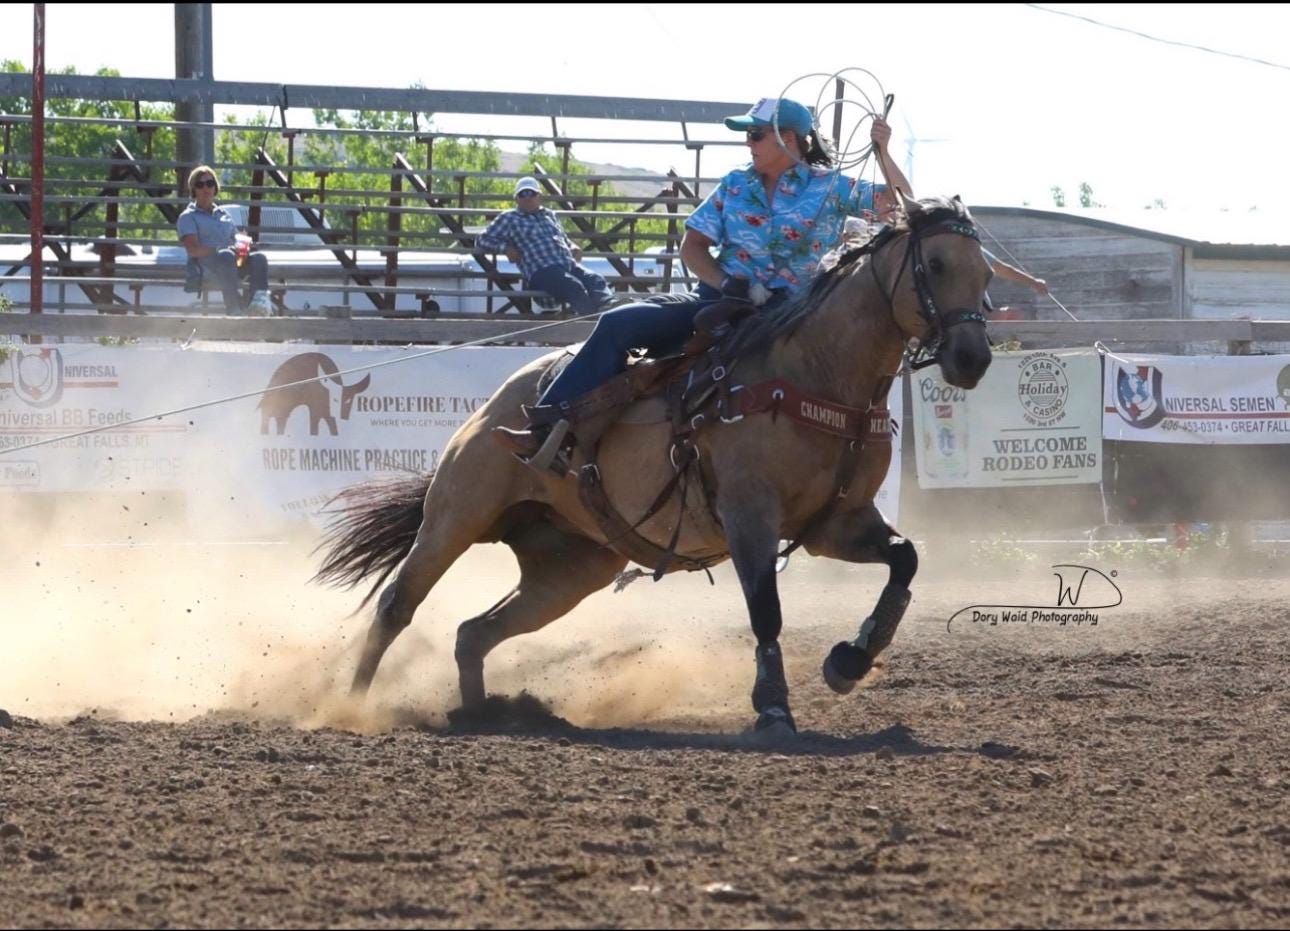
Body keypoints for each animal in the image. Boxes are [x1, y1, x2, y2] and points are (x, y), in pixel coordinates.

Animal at [317, 193, 990, 732]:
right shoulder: (749, 514)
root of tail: (500, 406)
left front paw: (849, 661)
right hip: (456, 515)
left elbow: (905, 559)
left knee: (473, 633)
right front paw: (773, 707)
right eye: (934, 265)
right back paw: (351, 706)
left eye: (985, 272)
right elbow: (766, 611)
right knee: (396, 606)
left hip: (572, 568)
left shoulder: (835, 523)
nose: (973, 358)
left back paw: (486, 715)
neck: (814, 373)